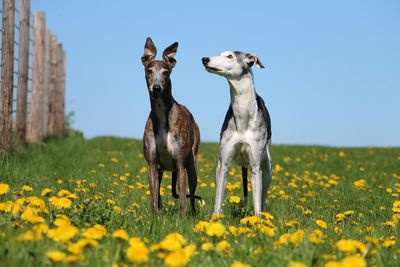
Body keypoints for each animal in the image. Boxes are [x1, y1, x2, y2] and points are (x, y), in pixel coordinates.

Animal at [142, 37, 202, 216]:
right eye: (149, 71)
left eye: (165, 72)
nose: (156, 89)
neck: (163, 119)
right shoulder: (153, 166)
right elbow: (154, 199)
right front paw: (154, 218)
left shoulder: (181, 165)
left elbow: (182, 200)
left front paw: (182, 220)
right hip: (162, 171)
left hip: (192, 166)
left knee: (191, 195)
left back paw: (193, 213)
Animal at [203, 51, 272, 216]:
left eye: (230, 56)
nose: (204, 59)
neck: (242, 115)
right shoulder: (223, 164)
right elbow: (218, 198)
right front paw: (215, 218)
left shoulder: (255, 167)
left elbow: (257, 202)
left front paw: (257, 219)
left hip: (267, 168)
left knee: (263, 196)